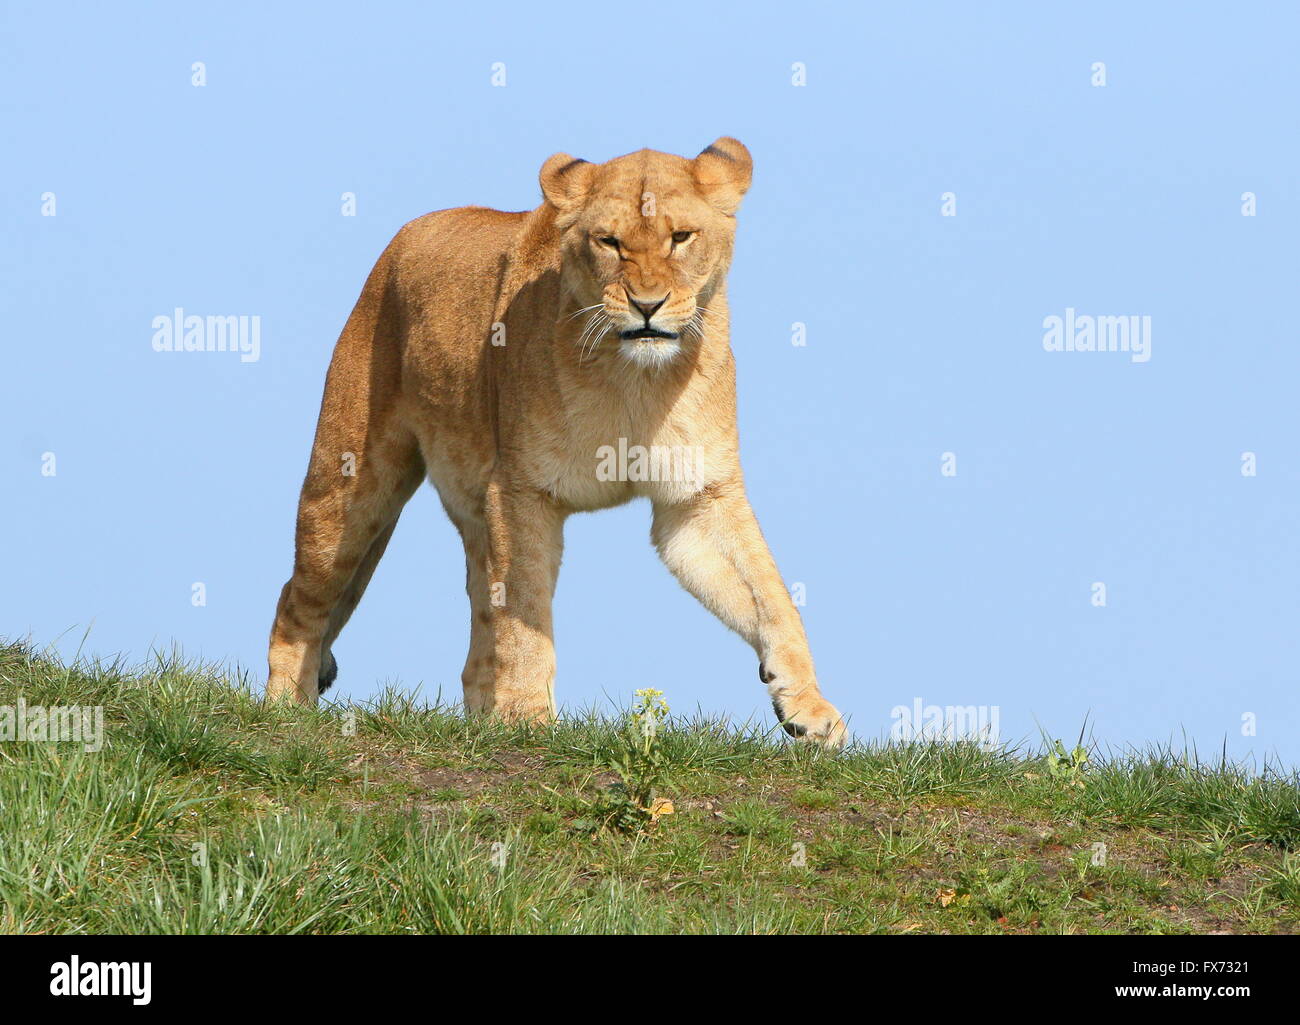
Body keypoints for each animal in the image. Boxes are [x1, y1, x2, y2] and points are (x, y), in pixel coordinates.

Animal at [266, 137, 847, 747]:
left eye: (681, 237)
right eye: (609, 242)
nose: (647, 305)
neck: (633, 379)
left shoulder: (697, 499)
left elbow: (771, 596)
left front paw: (808, 706)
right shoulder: (521, 491)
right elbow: (526, 616)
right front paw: (527, 720)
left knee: (477, 640)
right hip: (349, 486)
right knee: (298, 600)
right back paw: (286, 711)